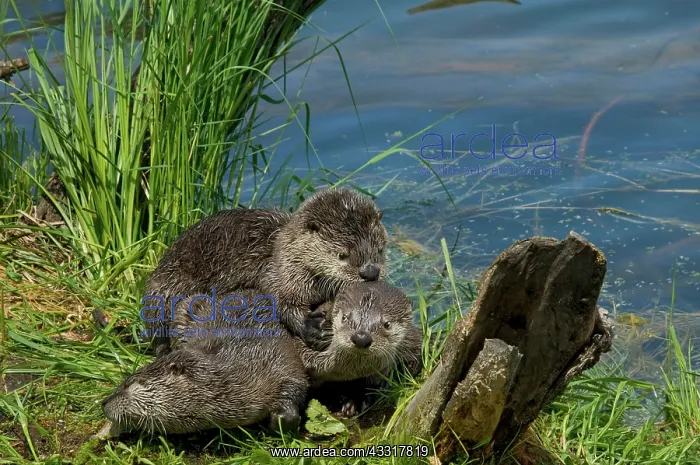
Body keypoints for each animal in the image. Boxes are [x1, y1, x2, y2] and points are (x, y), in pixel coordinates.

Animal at [141, 187, 388, 357]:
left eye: (380, 249)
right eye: (342, 255)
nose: (370, 272)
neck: (283, 255)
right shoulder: (278, 275)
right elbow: (281, 303)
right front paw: (314, 329)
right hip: (165, 288)